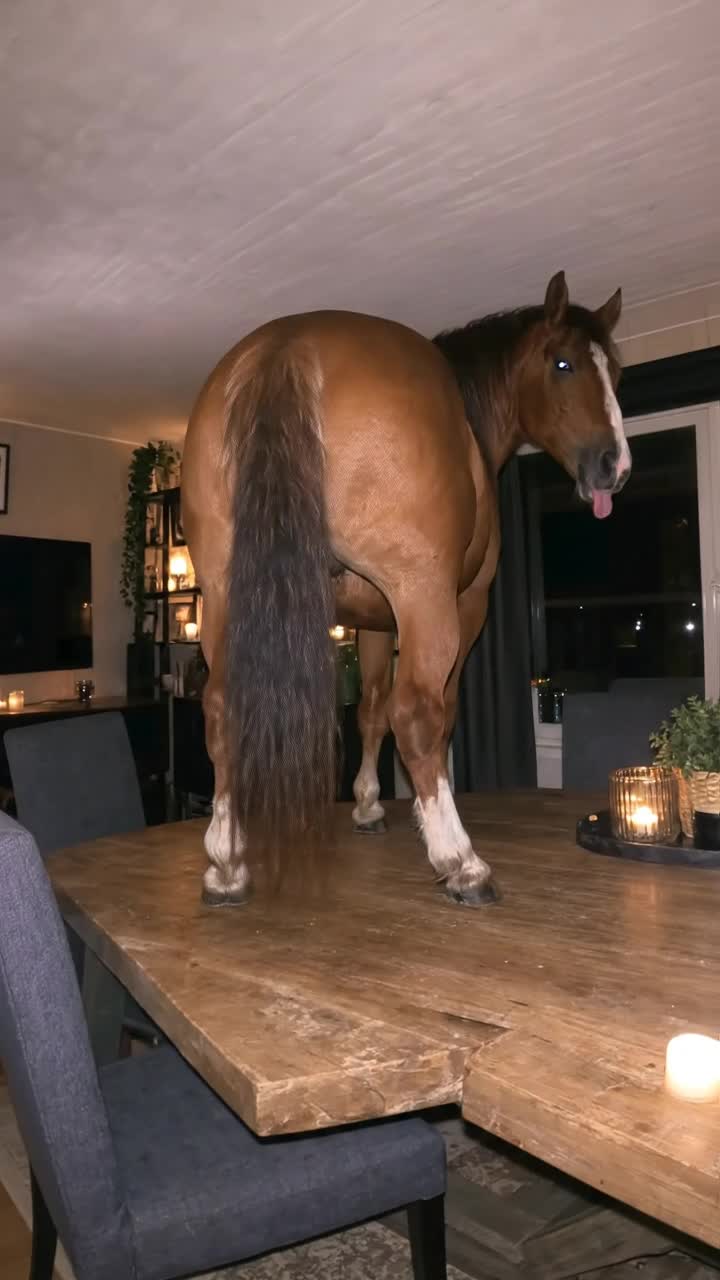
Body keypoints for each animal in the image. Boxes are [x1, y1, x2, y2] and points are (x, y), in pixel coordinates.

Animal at [181, 270, 630, 908]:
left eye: (614, 371)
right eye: (563, 363)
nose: (613, 467)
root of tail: (286, 346)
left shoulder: (370, 621)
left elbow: (369, 710)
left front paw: (367, 804)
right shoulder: (457, 605)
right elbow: (435, 713)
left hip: (224, 593)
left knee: (221, 707)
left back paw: (225, 862)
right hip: (423, 595)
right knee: (416, 710)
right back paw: (462, 863)